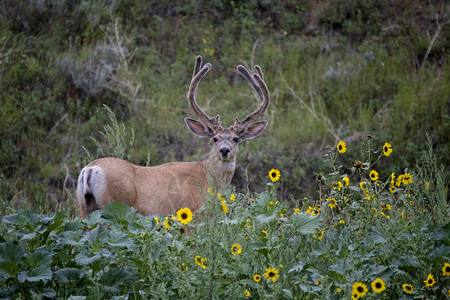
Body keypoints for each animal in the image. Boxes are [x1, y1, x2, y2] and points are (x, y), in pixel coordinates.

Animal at [75, 55, 268, 217]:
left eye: (236, 138)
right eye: (214, 138)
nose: (225, 150)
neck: (208, 179)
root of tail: (90, 169)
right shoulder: (192, 213)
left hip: (84, 207)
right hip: (113, 205)